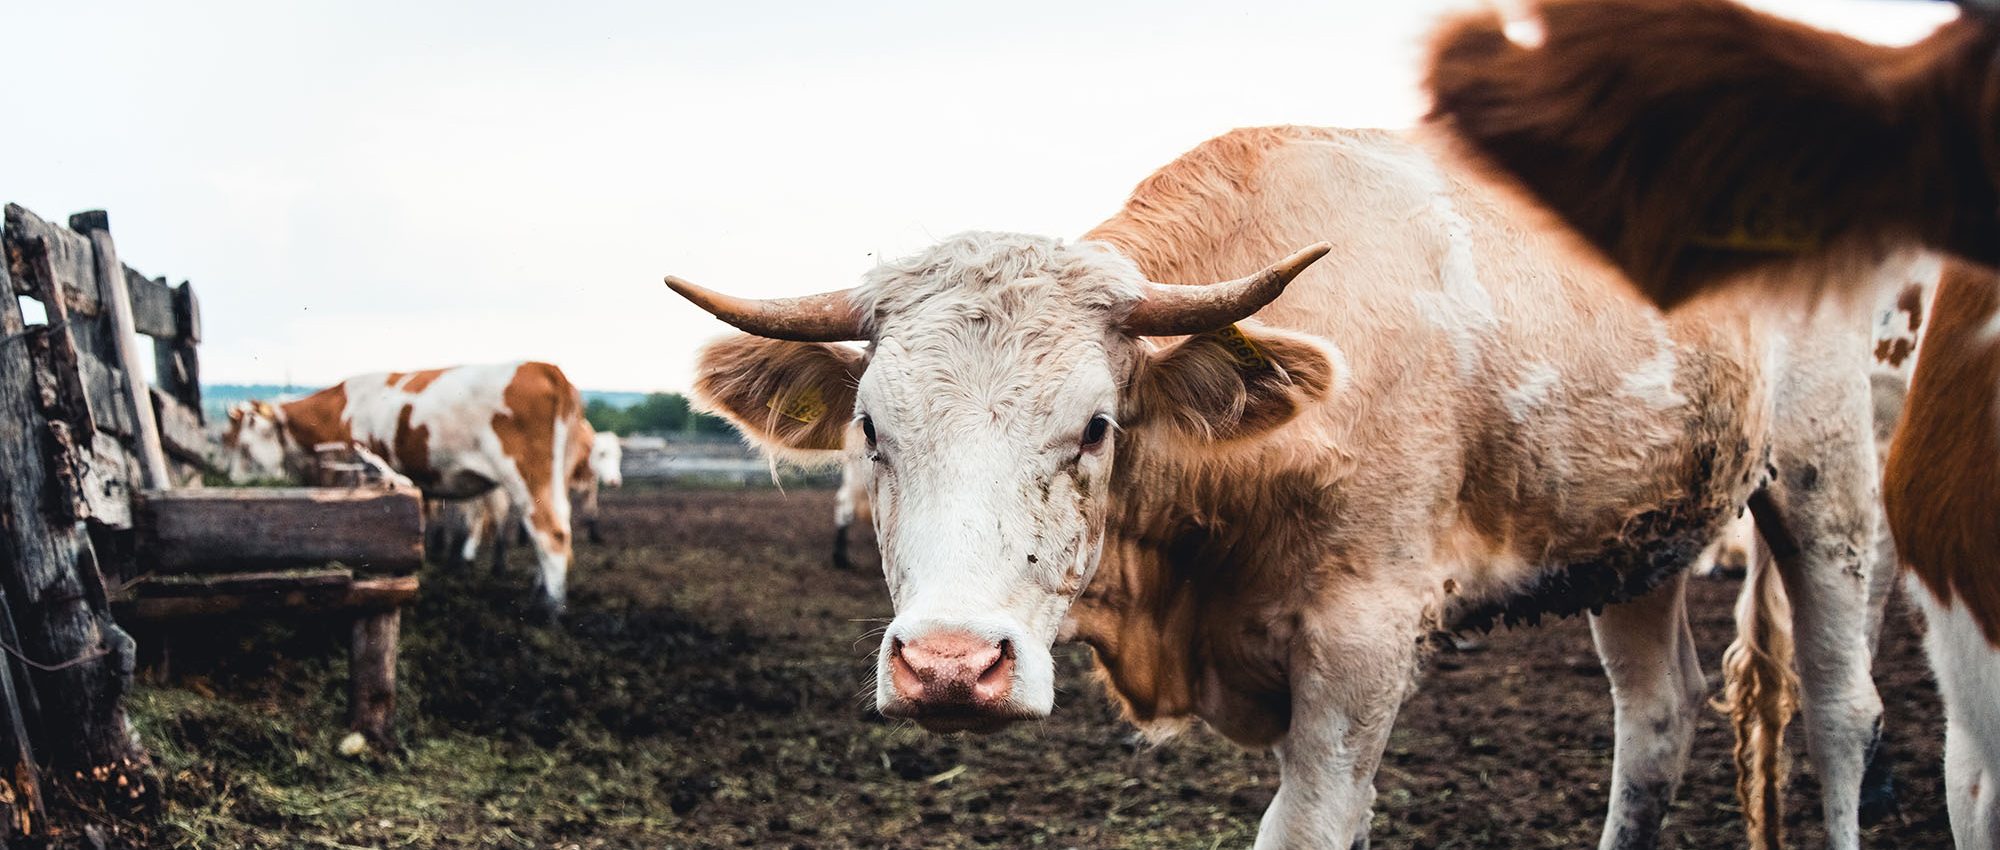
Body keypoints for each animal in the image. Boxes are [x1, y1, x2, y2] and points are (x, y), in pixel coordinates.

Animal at [227, 362, 588, 612]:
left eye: (244, 447)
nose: (232, 481)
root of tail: (544, 368)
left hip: (526, 475)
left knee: (551, 533)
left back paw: (550, 611)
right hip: (555, 478)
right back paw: (538, 591)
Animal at [664, 122, 1896, 844]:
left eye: (1096, 426)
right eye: (873, 428)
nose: (951, 667)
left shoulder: (1362, 642)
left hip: (1826, 477)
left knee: (1843, 710)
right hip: (1634, 535)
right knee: (1656, 722)